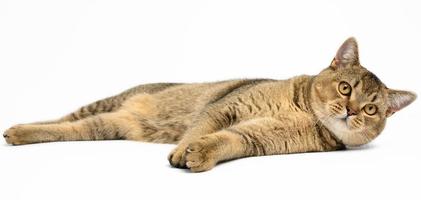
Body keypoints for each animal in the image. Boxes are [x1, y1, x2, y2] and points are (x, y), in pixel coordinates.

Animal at [3, 37, 416, 172]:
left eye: (372, 110)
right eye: (346, 88)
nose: (351, 111)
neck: (301, 109)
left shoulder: (256, 137)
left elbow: (226, 140)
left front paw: (200, 154)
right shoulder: (224, 108)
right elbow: (200, 128)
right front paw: (184, 149)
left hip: (109, 126)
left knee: (70, 129)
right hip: (106, 104)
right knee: (62, 117)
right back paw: (17, 129)